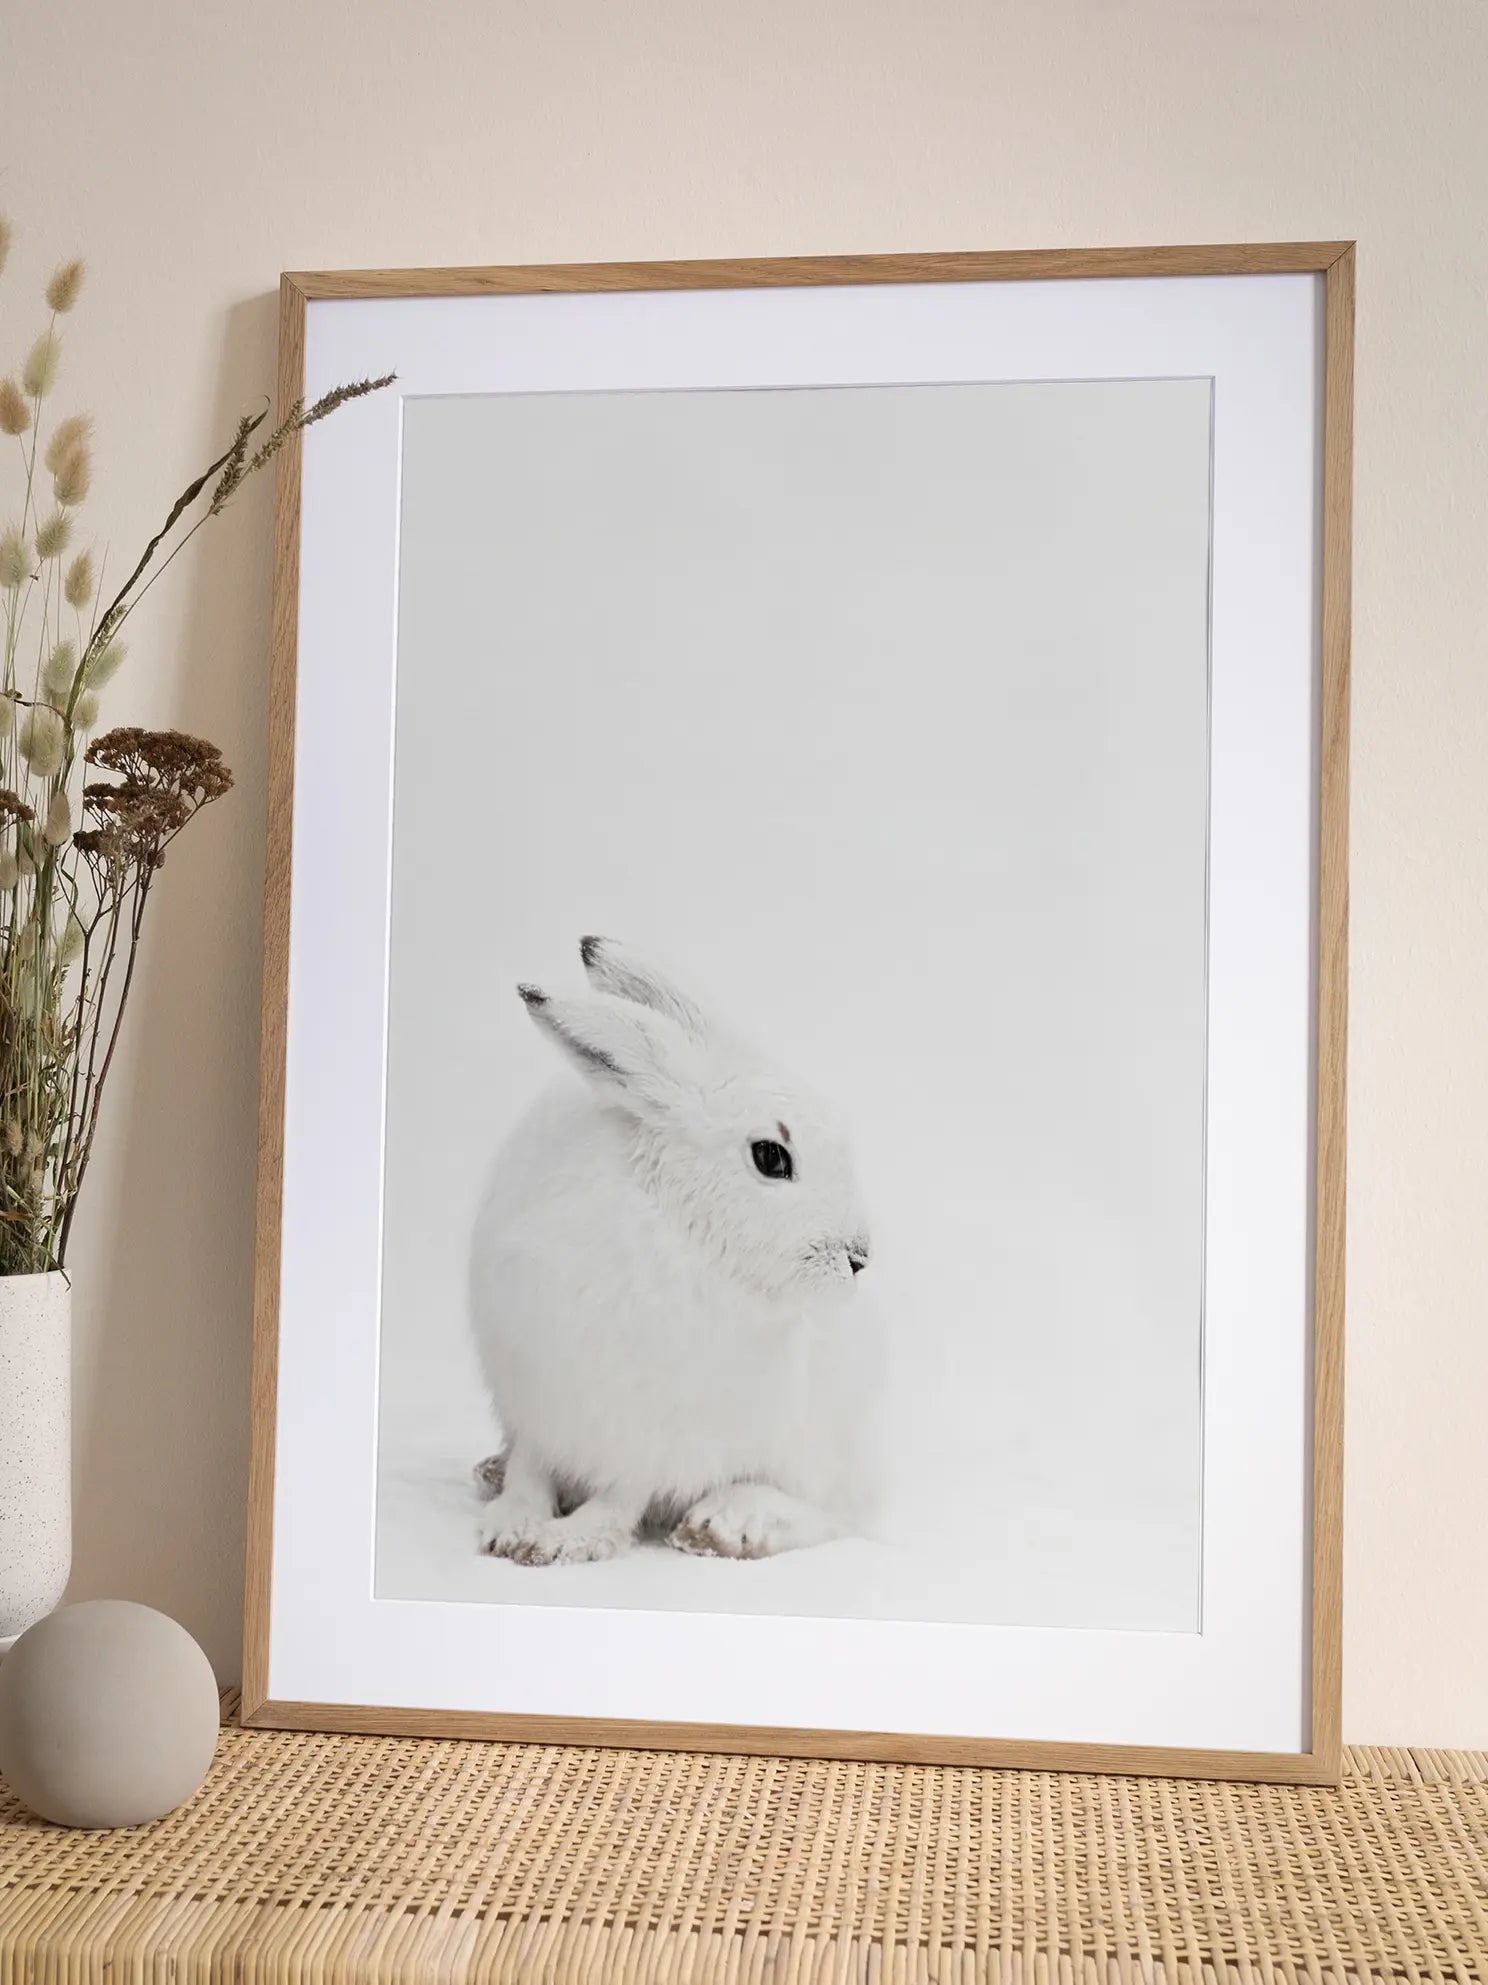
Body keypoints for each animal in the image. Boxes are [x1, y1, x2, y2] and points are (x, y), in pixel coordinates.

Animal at [469, 936, 884, 1567]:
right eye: (771, 1156)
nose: (858, 1256)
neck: (674, 1229)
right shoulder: (537, 1397)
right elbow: (531, 1471)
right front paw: (511, 1525)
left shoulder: (661, 1434)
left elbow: (623, 1494)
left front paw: (565, 1540)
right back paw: (490, 1471)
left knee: (832, 1514)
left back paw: (726, 1526)